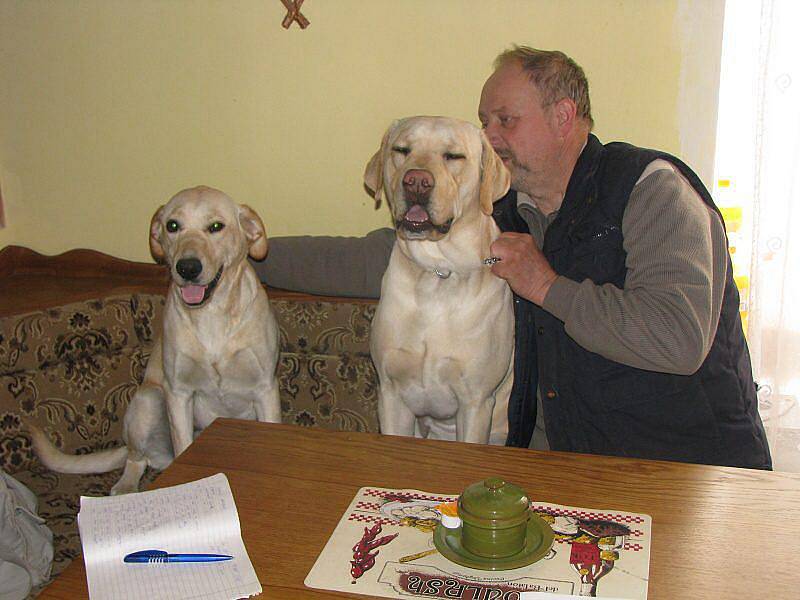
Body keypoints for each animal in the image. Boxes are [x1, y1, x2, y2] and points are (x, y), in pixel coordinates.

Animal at [30, 186, 282, 492]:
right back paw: (125, 487)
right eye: (172, 226)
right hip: (147, 401)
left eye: (216, 226)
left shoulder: (265, 388)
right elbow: (183, 444)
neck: (212, 313)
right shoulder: (178, 392)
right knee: (137, 459)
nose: (187, 267)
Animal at [368, 116, 516, 446]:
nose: (416, 181)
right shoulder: (391, 393)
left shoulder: (475, 402)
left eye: (454, 156)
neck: (438, 271)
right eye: (402, 150)